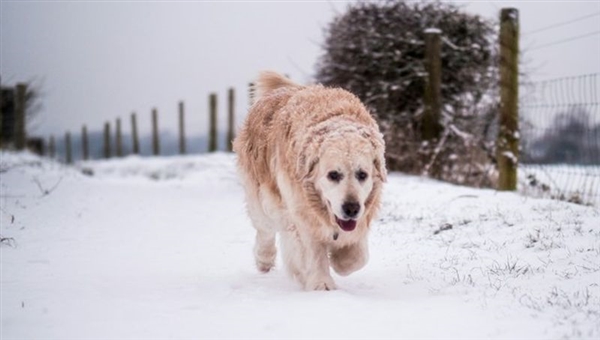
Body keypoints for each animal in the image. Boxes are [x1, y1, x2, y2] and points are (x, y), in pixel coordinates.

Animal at [232, 71, 386, 290]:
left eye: (362, 175)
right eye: (333, 175)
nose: (351, 208)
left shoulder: (363, 215)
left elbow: (358, 257)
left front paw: (340, 259)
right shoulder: (301, 214)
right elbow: (313, 252)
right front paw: (322, 284)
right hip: (261, 198)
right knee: (265, 230)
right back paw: (265, 259)